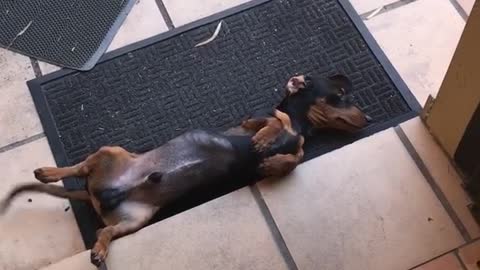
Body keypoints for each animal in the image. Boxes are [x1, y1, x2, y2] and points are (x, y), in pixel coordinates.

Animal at [0, 73, 370, 266]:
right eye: (340, 94)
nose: (367, 118)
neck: (301, 126)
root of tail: (97, 195)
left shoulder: (295, 148)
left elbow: (292, 159)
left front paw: (270, 159)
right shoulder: (251, 121)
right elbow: (272, 121)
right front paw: (265, 142)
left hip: (136, 220)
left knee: (105, 231)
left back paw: (100, 250)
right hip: (110, 152)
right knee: (78, 166)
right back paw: (48, 173)